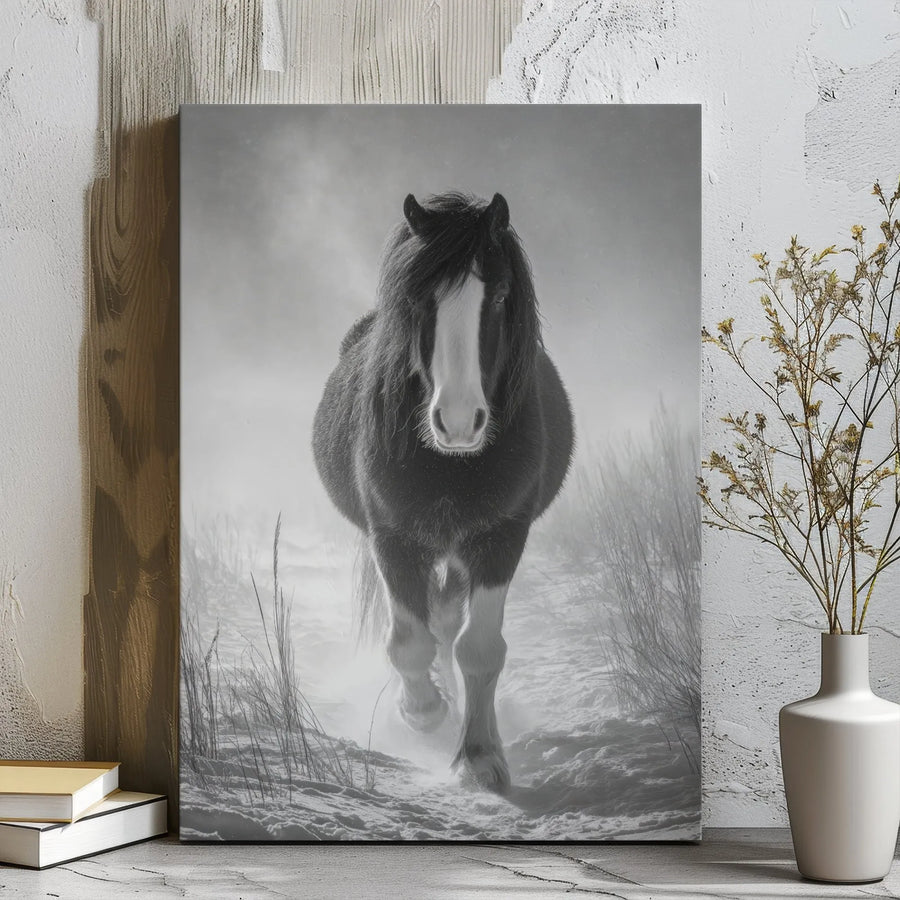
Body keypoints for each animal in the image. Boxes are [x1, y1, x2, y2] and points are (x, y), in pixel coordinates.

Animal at [312, 191, 574, 792]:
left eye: (497, 295)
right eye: (418, 298)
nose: (457, 423)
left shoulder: (501, 537)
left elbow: (478, 649)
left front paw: (479, 756)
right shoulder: (392, 539)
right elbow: (409, 643)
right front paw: (423, 712)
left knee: (450, 625)